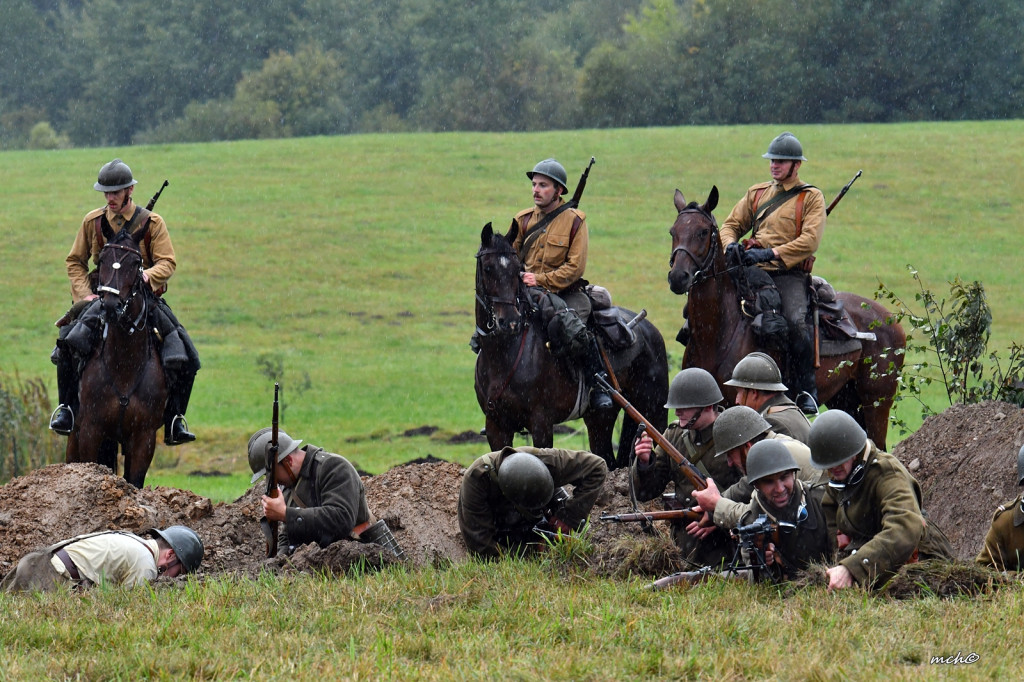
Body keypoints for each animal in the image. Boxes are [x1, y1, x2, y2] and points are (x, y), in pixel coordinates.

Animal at [66, 225, 167, 485]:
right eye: (102, 259)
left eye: (135, 262)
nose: (112, 306)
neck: (124, 366)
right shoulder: (91, 430)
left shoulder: (144, 437)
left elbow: (134, 481)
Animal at [473, 222, 671, 466]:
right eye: (488, 268)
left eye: (517, 269)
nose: (509, 322)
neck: (504, 356)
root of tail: (650, 331)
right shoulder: (496, 427)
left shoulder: (541, 424)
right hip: (600, 419)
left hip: (655, 411)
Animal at [671, 187, 905, 450]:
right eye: (673, 231)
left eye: (702, 232)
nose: (677, 277)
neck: (719, 332)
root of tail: (890, 320)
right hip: (845, 399)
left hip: (876, 401)